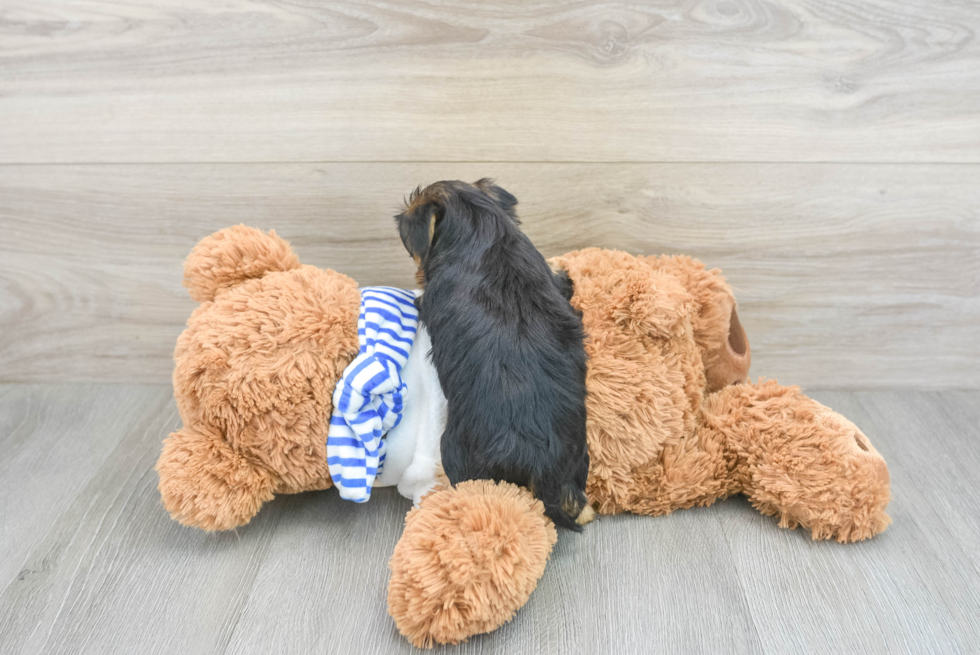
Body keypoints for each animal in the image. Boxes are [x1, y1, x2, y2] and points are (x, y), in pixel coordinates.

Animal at [396, 181, 592, 532]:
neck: (482, 231)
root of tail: (540, 464)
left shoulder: (428, 299)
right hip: (579, 458)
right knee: (580, 503)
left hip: (456, 450)